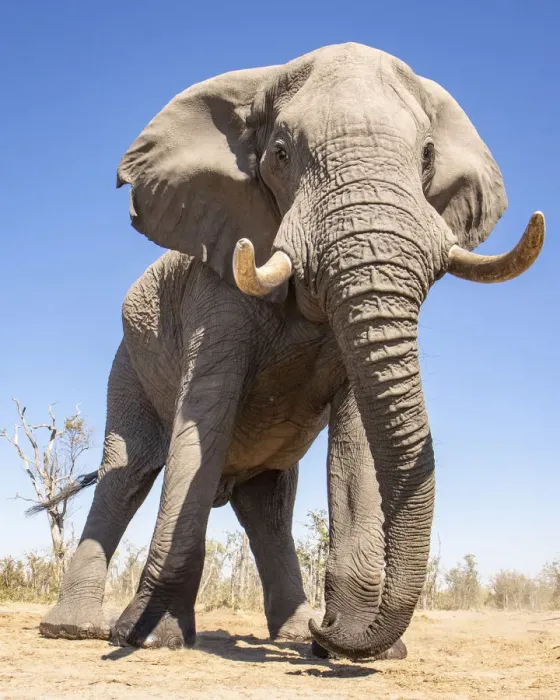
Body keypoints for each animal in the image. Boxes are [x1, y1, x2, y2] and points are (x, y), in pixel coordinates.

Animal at [38, 42, 544, 661]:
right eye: (280, 154)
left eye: (427, 156)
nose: (336, 633)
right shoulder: (214, 289)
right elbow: (202, 422)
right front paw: (148, 638)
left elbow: (356, 446)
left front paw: (361, 649)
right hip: (127, 364)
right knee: (127, 471)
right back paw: (74, 630)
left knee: (267, 506)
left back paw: (298, 633)